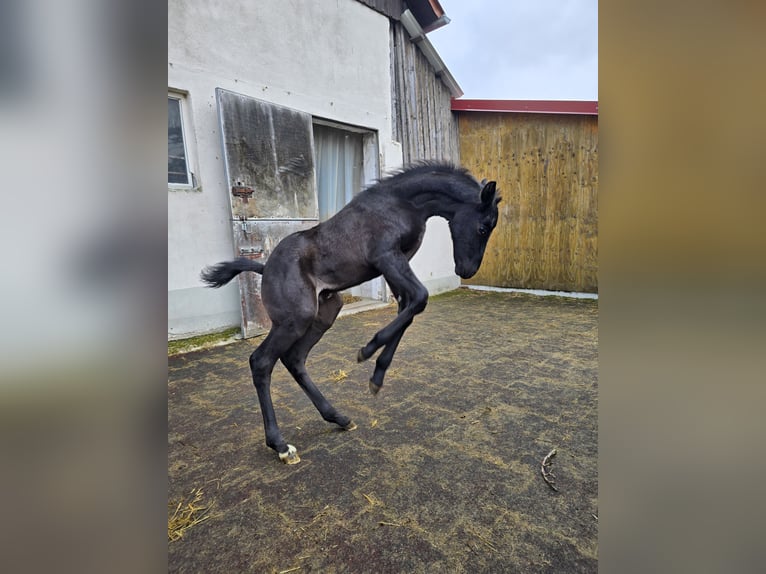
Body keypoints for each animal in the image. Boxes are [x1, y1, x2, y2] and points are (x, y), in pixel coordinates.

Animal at [201, 163, 501, 464]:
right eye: (483, 227)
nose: (467, 270)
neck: (400, 204)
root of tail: (265, 268)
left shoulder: (395, 265)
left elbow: (409, 308)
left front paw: (377, 376)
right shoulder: (387, 257)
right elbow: (420, 298)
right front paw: (367, 350)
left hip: (325, 314)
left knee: (294, 359)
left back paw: (338, 417)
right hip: (295, 319)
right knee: (261, 362)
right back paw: (281, 445)